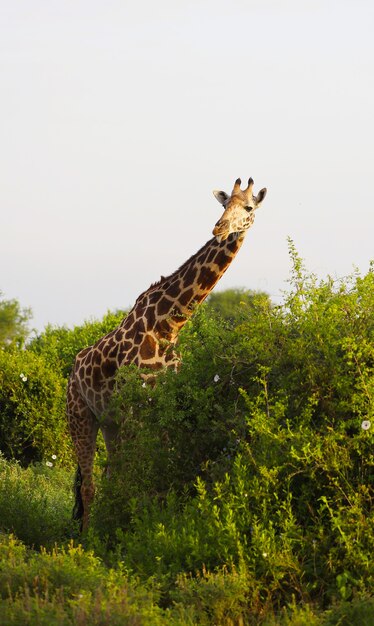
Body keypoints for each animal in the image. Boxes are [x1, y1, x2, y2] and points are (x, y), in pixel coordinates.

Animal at [66, 176, 266, 528]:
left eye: (248, 207)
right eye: (224, 204)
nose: (219, 228)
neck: (168, 326)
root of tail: (72, 370)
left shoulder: (164, 408)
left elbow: (162, 476)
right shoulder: (135, 409)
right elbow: (140, 480)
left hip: (109, 421)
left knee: (110, 476)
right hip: (80, 414)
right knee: (91, 484)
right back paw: (87, 537)